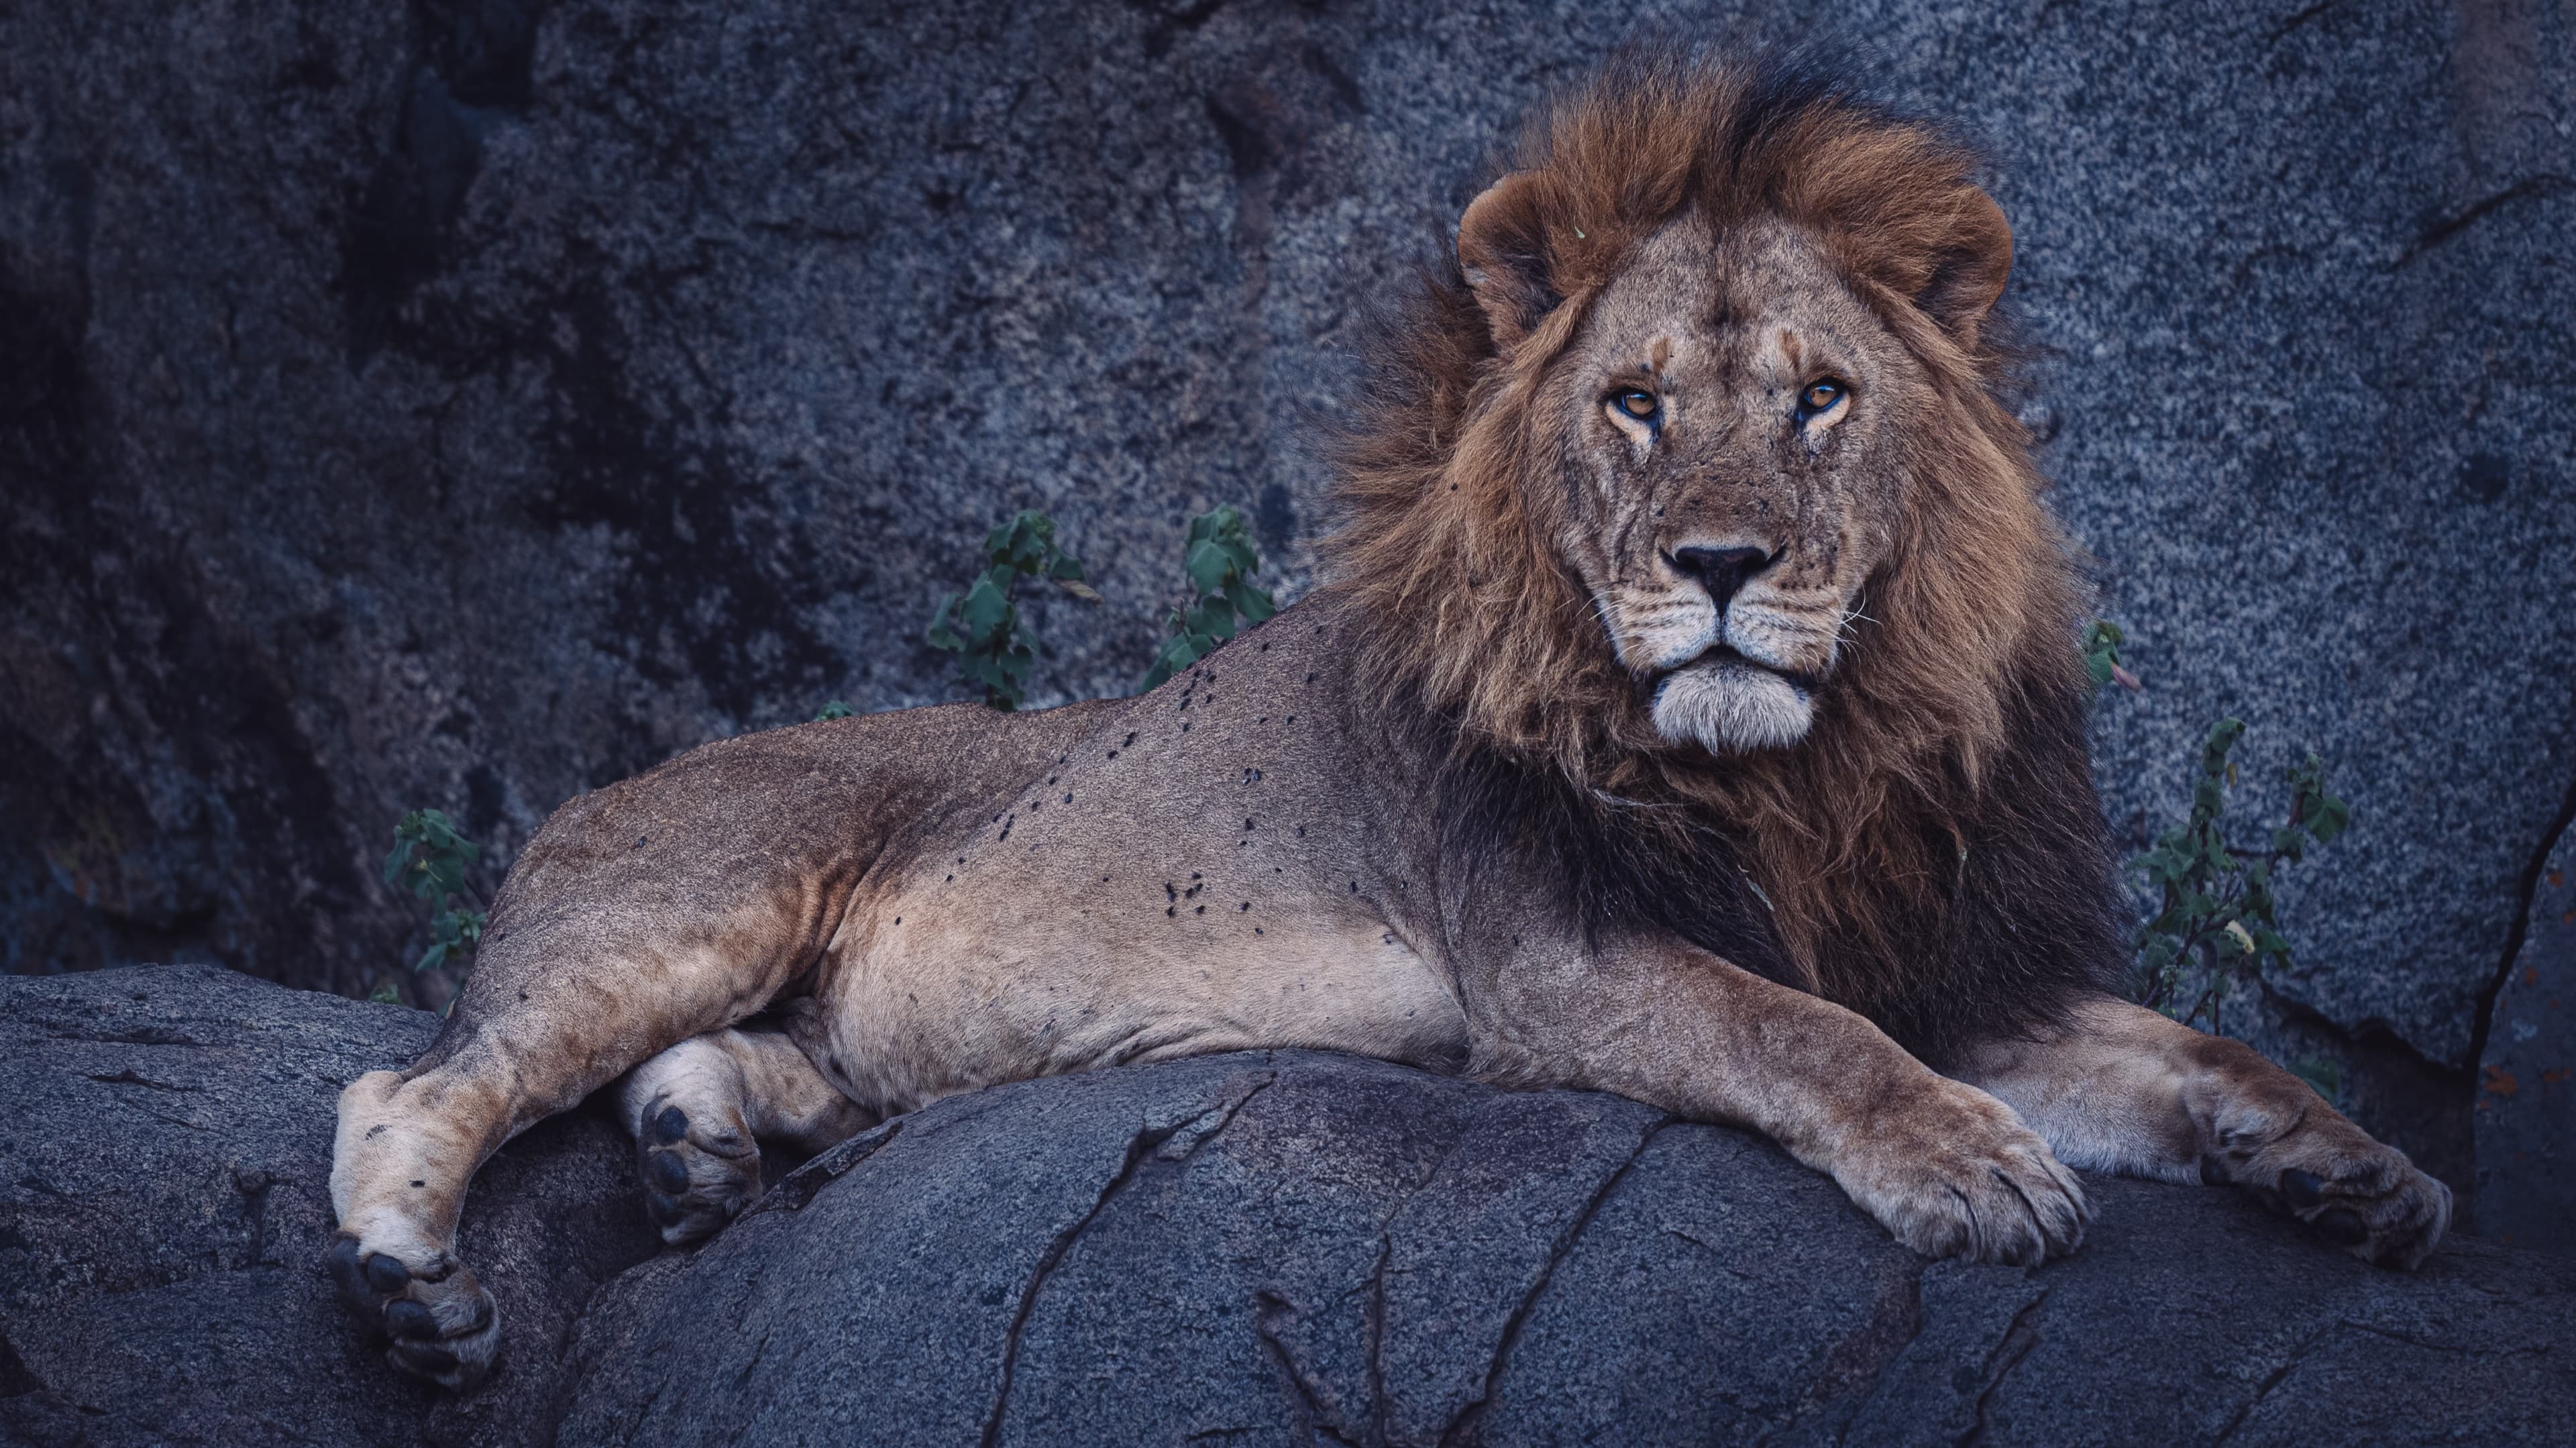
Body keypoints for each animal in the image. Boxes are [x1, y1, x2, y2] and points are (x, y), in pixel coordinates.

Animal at [326, 52, 2450, 1389]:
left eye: (1822, 396)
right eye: (1635, 402)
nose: (1724, 561)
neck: (1809, 769)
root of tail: (587, 800)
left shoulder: (1952, 957)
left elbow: (2185, 1045)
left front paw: (2354, 1170)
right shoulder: (1558, 957)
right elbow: (1803, 1034)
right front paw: (1980, 1167)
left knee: (731, 1068)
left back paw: (703, 1153)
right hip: (701, 893)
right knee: (418, 1081)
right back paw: (419, 1294)